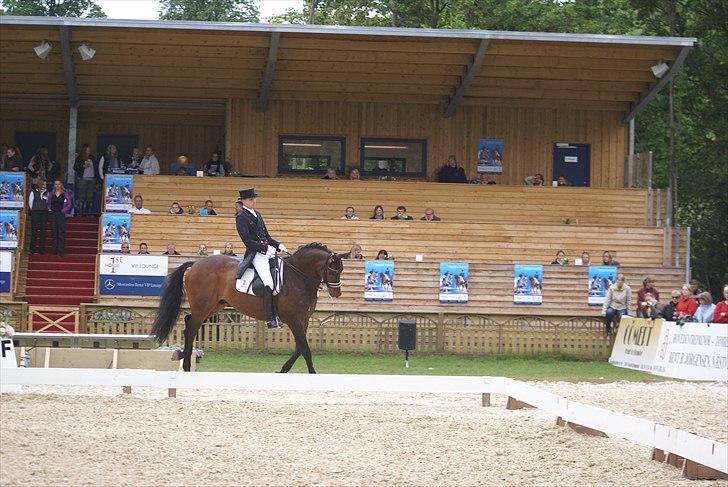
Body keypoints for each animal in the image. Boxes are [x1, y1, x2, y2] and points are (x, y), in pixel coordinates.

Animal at [151, 244, 344, 374]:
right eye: (332, 271)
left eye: (341, 270)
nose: (337, 293)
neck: (298, 278)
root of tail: (196, 264)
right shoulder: (295, 320)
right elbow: (305, 350)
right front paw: (312, 374)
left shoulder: (302, 321)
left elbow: (299, 348)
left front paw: (283, 369)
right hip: (203, 307)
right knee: (191, 329)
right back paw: (186, 364)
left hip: (213, 306)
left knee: (188, 322)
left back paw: (181, 355)